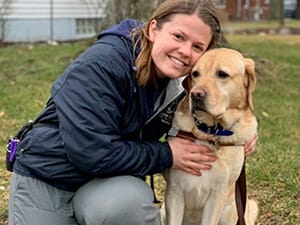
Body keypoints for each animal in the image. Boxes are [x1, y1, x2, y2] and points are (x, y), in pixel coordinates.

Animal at [163, 48, 258, 225]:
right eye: (195, 74)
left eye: (222, 74)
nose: (195, 94)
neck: (212, 133)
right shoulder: (174, 191)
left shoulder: (217, 196)